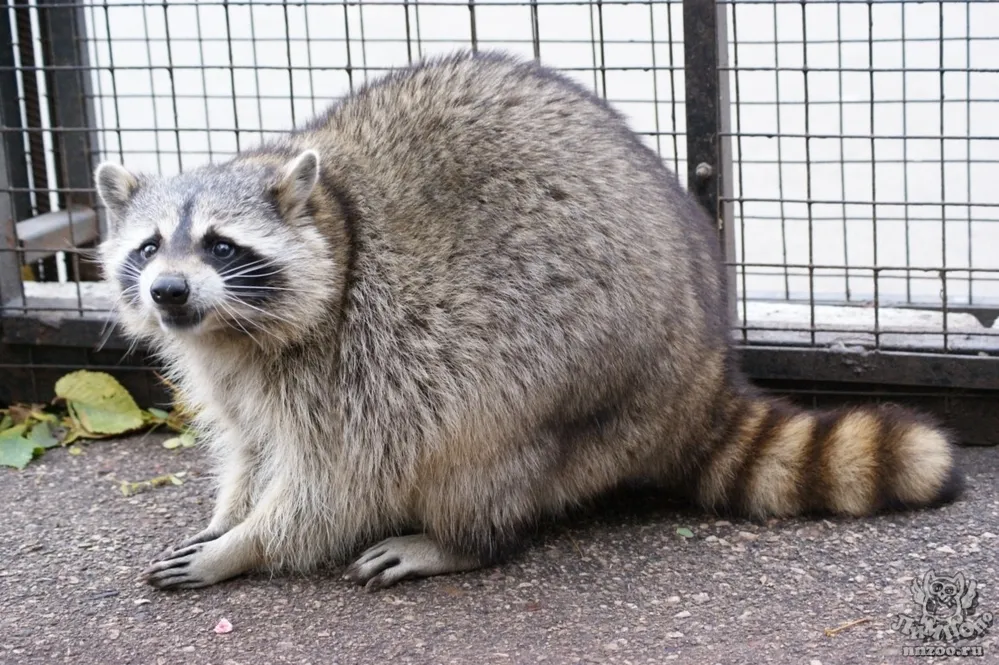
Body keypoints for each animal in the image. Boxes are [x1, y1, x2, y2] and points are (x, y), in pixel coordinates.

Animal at [94, 53, 960, 592]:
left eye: (219, 244)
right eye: (149, 246)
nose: (169, 292)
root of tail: (702, 369)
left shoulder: (360, 366)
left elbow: (334, 488)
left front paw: (246, 545)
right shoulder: (229, 370)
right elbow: (248, 446)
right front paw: (228, 515)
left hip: (577, 382)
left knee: (477, 442)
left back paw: (460, 539)